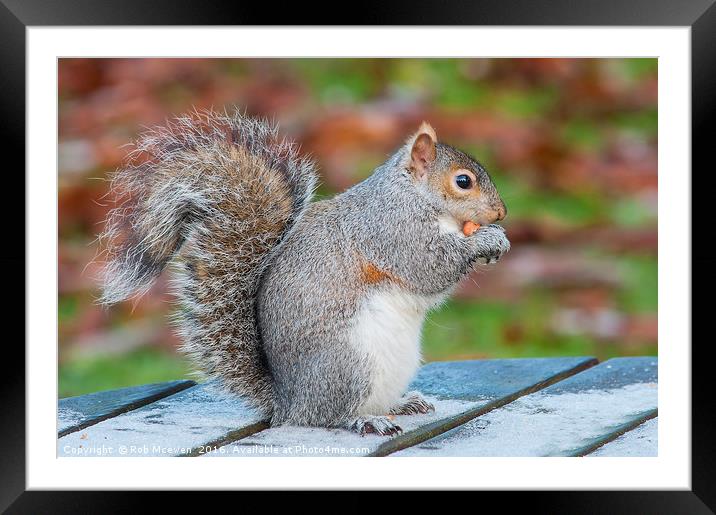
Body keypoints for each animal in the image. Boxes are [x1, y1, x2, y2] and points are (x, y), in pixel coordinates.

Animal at [100, 111, 510, 438]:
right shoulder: (391, 231)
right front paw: (485, 240)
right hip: (347, 365)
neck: (412, 195)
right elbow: (427, 266)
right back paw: (363, 420)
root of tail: (288, 402)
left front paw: (494, 240)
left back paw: (402, 404)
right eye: (463, 181)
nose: (502, 213)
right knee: (328, 415)